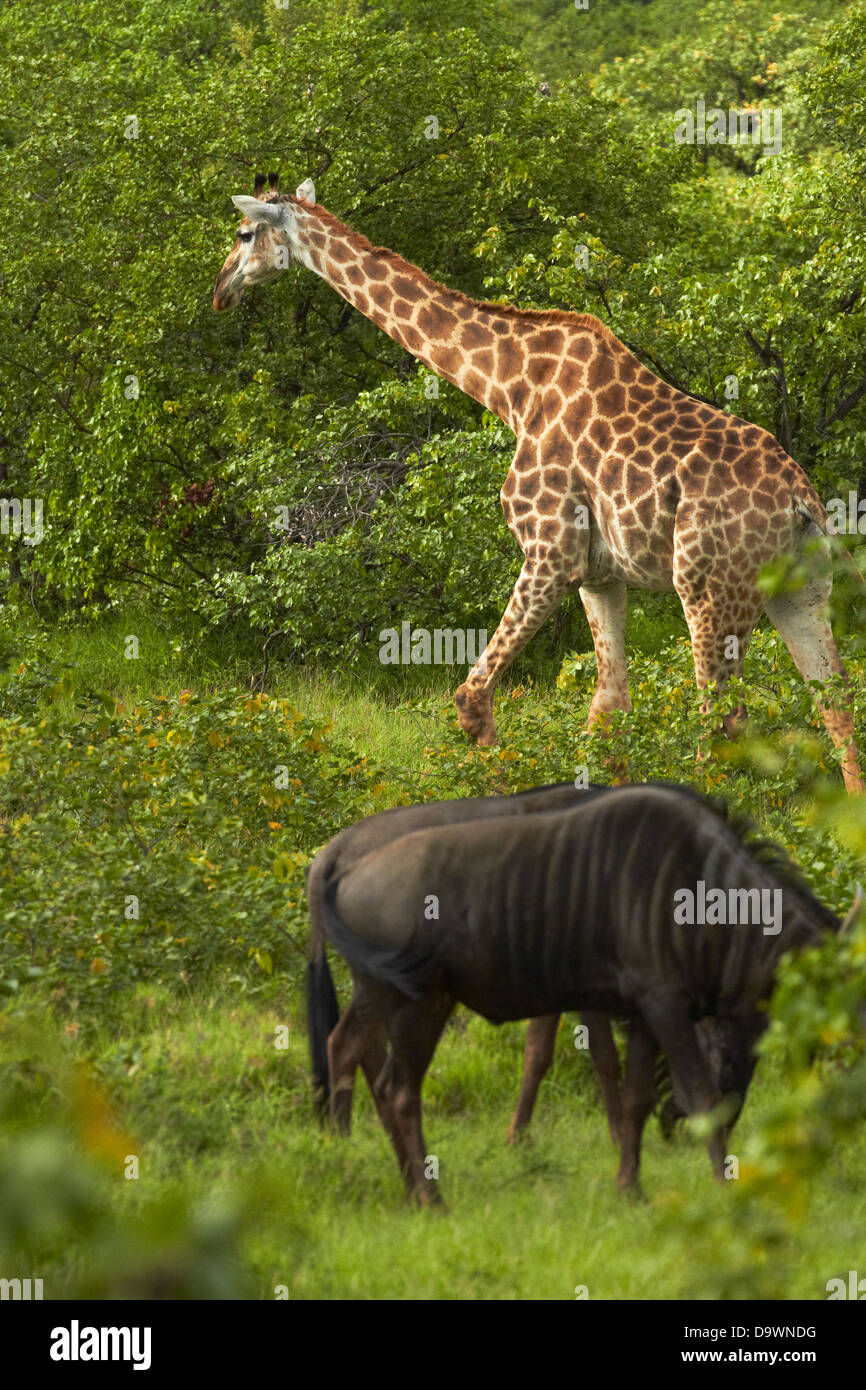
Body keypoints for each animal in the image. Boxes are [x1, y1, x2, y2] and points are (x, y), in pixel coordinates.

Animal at [214, 176, 861, 795]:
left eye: (245, 233)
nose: (220, 290)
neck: (509, 389)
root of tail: (802, 501)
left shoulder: (550, 551)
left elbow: (472, 698)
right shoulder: (600, 575)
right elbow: (609, 706)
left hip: (706, 588)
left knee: (722, 718)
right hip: (799, 590)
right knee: (835, 702)